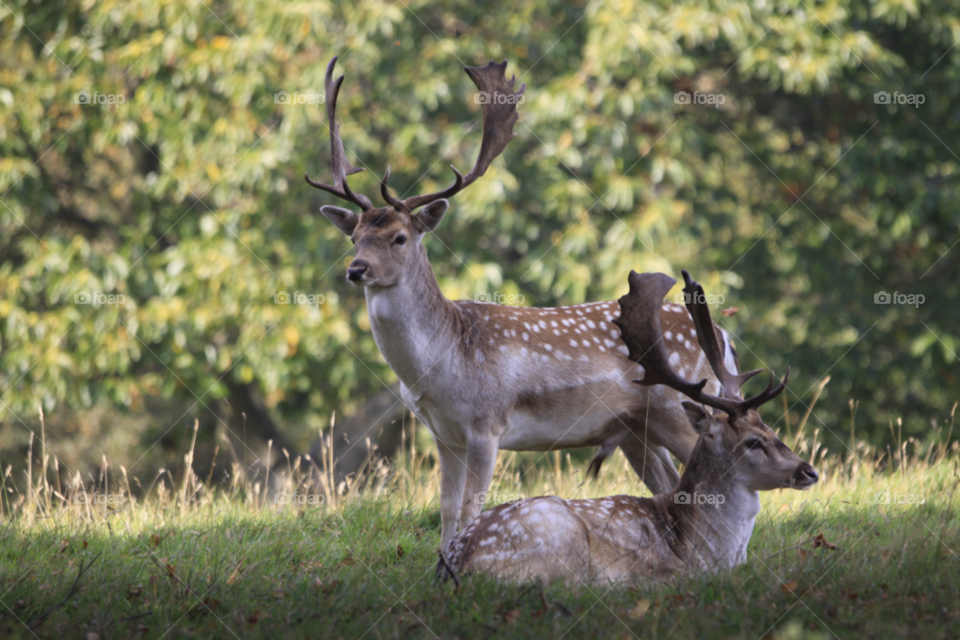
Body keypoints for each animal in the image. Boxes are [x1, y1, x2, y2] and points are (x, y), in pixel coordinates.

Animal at [309, 56, 750, 547]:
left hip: (682, 405)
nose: (356, 270)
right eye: (355, 237)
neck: (442, 361)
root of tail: (724, 337)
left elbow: (470, 509)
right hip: (637, 429)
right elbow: (446, 510)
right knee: (672, 485)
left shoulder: (487, 423)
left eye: (400, 237)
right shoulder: (443, 434)